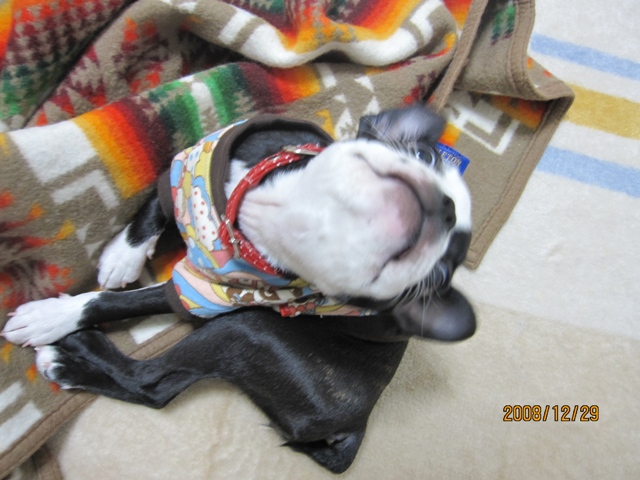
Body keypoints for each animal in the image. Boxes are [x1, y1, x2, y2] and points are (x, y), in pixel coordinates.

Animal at [2, 105, 475, 473]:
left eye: (441, 272)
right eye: (422, 153)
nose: (446, 208)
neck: (265, 217)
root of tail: (360, 422)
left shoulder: (208, 294)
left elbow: (118, 303)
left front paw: (52, 317)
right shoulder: (192, 159)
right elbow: (157, 202)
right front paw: (125, 254)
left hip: (246, 329)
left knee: (152, 384)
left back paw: (68, 360)